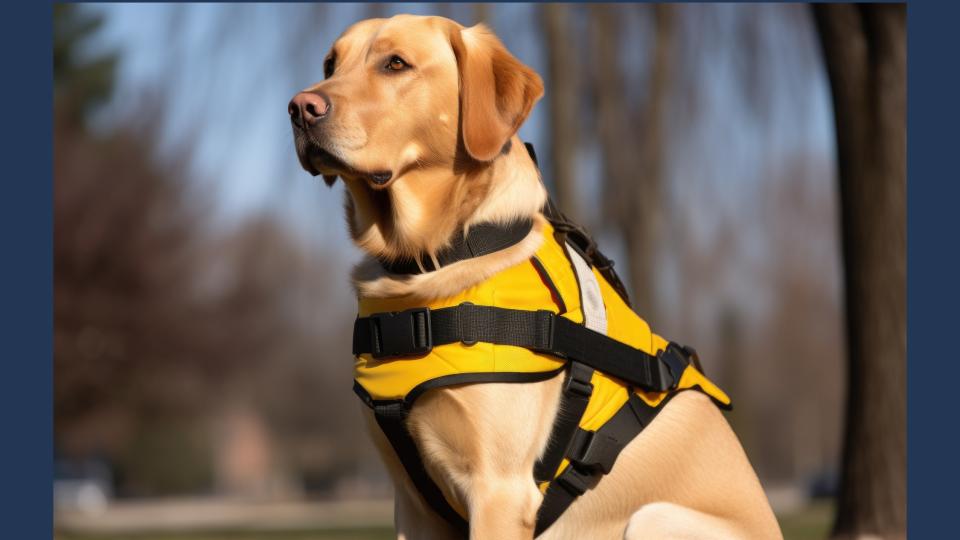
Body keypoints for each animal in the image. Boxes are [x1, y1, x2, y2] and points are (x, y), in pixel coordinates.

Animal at [286, 13, 780, 540]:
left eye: (395, 64)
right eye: (330, 64)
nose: (300, 107)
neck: (429, 260)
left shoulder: (498, 490)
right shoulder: (414, 505)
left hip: (654, 517)